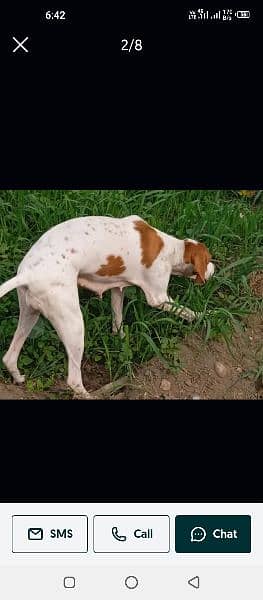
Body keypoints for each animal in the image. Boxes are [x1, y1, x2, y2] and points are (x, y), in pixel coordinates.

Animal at [0, 216, 214, 398]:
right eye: (209, 259)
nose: (215, 268)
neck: (170, 249)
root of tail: (29, 273)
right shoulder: (158, 297)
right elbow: (187, 311)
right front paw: (206, 315)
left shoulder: (117, 289)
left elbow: (117, 321)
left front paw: (120, 340)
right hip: (74, 326)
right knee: (73, 380)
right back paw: (89, 395)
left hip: (30, 314)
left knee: (9, 357)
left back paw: (18, 378)